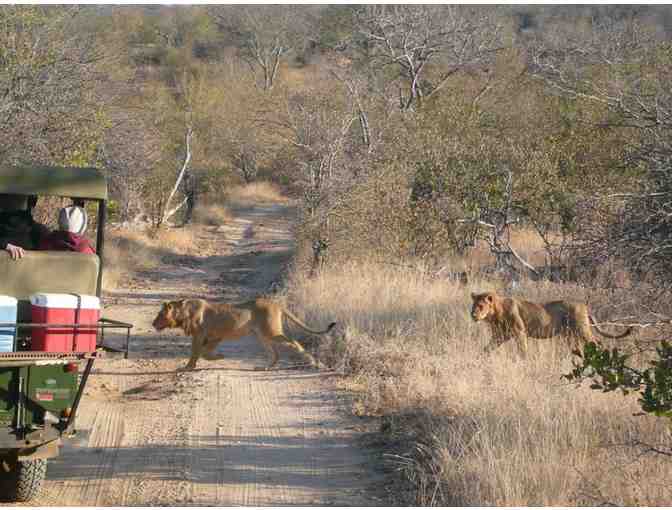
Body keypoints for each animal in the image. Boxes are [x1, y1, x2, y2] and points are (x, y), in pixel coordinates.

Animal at [152, 297, 336, 371]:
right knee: (274, 353)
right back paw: (264, 367)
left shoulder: (200, 335)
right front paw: (218, 356)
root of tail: (276, 304)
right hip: (262, 335)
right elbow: (204, 352)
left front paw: (187, 367)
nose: (153, 323)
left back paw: (317, 364)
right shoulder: (215, 336)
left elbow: (196, 353)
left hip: (271, 332)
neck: (183, 312)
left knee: (294, 343)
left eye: (160, 315)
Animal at [470, 291, 632, 356]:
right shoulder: (500, 335)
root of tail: (584, 306)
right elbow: (487, 348)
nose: (473, 315)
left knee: (597, 342)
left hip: (582, 329)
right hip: (570, 334)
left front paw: (524, 361)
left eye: (481, 306)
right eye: (473, 306)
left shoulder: (519, 332)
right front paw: (480, 358)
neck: (495, 312)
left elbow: (523, 350)